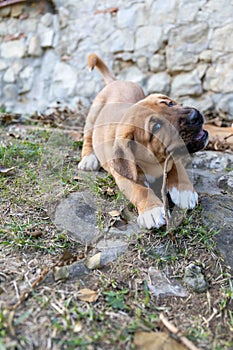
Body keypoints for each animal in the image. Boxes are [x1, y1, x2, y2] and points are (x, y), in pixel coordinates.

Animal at [78, 54, 208, 230]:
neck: (154, 161)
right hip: (92, 115)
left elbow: (178, 169)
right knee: (87, 138)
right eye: (157, 126)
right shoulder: (124, 177)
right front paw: (151, 211)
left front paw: (184, 191)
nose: (195, 116)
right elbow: (140, 190)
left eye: (170, 103)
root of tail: (114, 81)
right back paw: (88, 159)